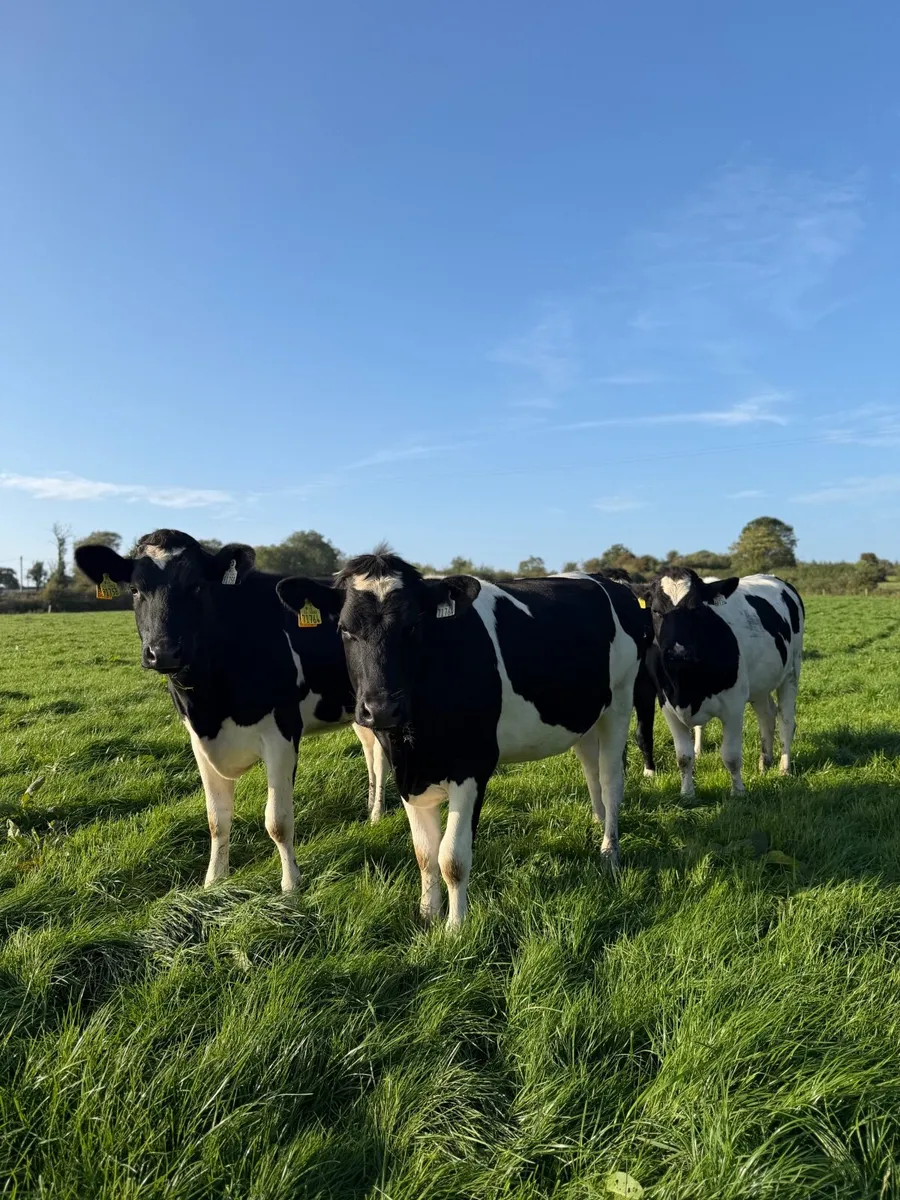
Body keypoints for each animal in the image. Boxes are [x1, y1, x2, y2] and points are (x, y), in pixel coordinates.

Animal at [74, 529, 387, 891]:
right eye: (136, 590)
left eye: (197, 586)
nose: (163, 652)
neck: (211, 705)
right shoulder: (198, 740)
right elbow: (217, 819)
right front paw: (214, 881)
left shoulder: (282, 733)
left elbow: (277, 821)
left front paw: (291, 887)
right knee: (370, 753)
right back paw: (370, 808)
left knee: (380, 758)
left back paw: (377, 816)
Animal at [277, 549, 645, 928]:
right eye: (345, 630)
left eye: (413, 626)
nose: (380, 709)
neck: (417, 743)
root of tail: (604, 579)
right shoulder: (405, 774)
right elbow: (425, 853)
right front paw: (428, 914)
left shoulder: (472, 767)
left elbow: (451, 858)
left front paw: (455, 927)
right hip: (585, 714)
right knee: (590, 769)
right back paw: (597, 821)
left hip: (620, 699)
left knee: (611, 779)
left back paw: (609, 851)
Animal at [637, 567, 804, 797]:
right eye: (655, 611)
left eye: (697, 609)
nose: (678, 652)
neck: (686, 687)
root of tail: (772, 577)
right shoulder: (667, 706)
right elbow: (683, 757)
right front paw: (687, 794)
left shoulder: (733, 705)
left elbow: (731, 755)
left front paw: (738, 792)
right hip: (759, 685)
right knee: (767, 715)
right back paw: (764, 763)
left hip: (791, 672)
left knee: (786, 721)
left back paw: (784, 769)